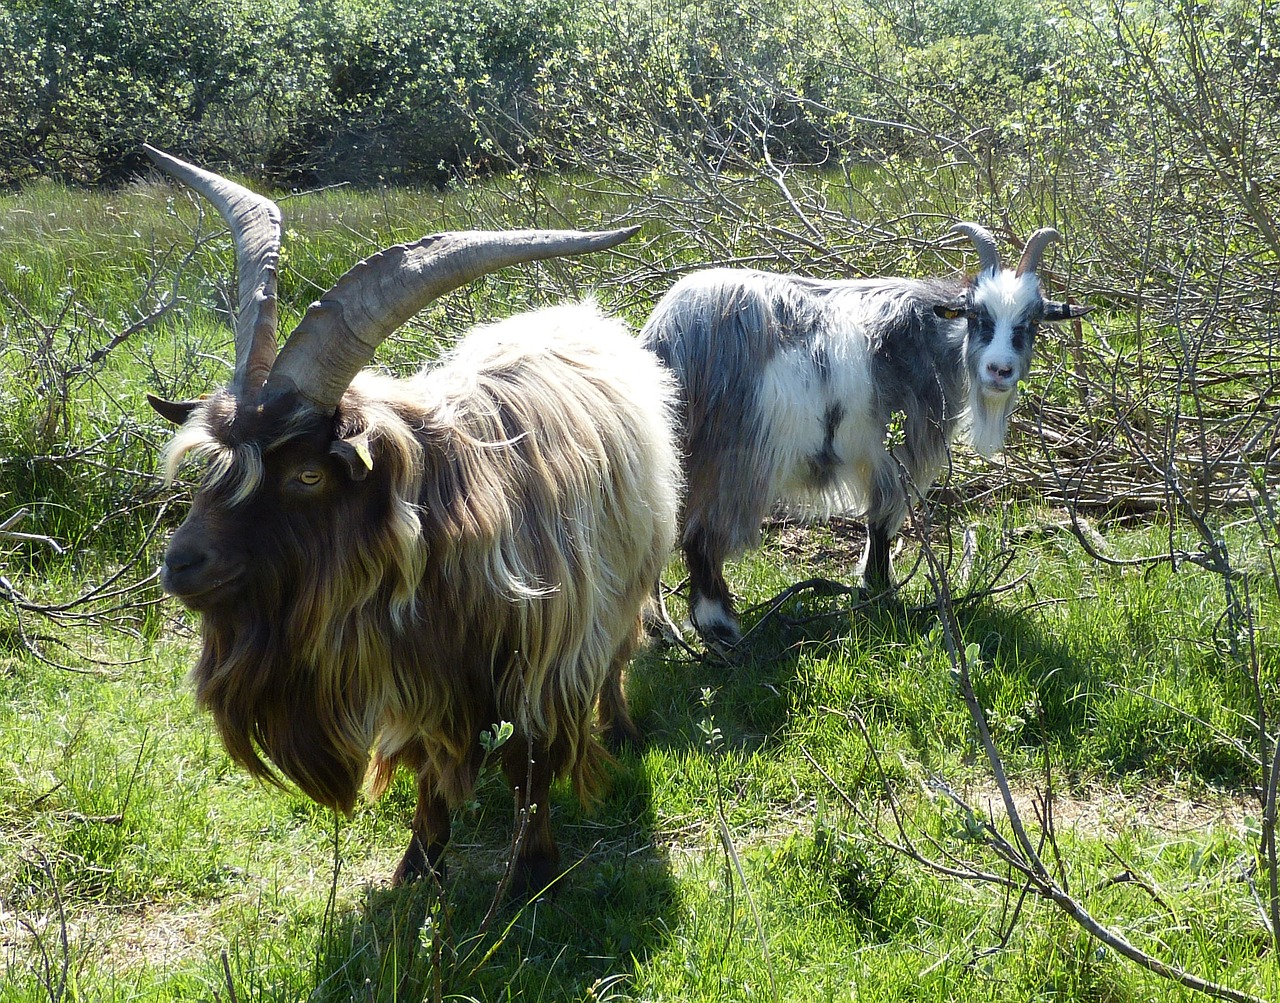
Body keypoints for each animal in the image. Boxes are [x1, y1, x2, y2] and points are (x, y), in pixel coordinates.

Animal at [145, 147, 686, 895]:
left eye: (307, 474)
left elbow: (532, 763)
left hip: (627, 585)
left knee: (618, 657)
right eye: (216, 464)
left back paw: (622, 727)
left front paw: (530, 869)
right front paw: (418, 863)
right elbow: (431, 761)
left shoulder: (546, 659)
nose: (180, 564)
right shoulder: (422, 671)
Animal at [640, 223, 1090, 649]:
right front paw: (880, 592)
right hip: (729, 459)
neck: (929, 338)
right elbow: (882, 523)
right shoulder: (896, 453)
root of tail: (667, 333)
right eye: (978, 316)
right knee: (699, 536)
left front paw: (874, 589)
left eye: (1030, 322)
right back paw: (719, 626)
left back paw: (660, 627)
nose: (1000, 370)